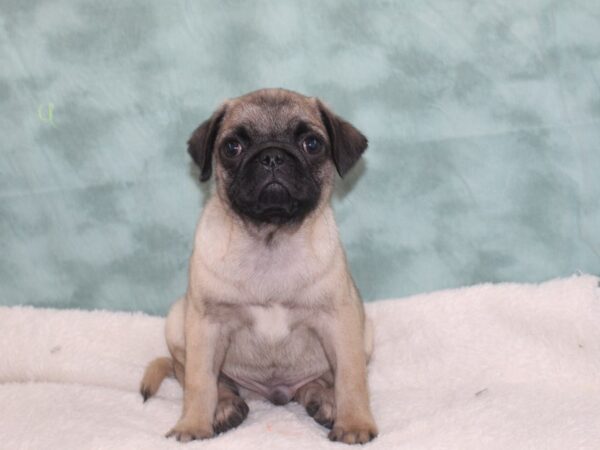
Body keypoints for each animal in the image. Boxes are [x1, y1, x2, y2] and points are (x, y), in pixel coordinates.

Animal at [138, 87, 378, 442]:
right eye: (232, 147)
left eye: (312, 144)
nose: (272, 156)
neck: (270, 239)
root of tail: (274, 394)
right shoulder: (206, 325)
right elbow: (198, 382)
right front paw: (193, 425)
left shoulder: (341, 321)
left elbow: (351, 377)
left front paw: (355, 424)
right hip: (176, 320)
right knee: (197, 375)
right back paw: (225, 406)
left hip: (365, 333)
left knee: (319, 381)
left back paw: (323, 400)